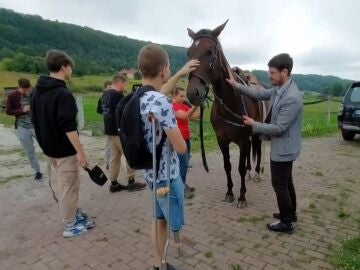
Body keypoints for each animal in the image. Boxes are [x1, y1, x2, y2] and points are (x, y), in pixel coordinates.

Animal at [184, 21, 266, 207]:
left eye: (209, 52)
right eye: (189, 53)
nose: (193, 93)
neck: (231, 102)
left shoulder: (243, 140)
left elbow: (240, 168)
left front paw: (242, 197)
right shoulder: (222, 140)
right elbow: (227, 166)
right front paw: (229, 193)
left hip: (257, 133)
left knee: (257, 150)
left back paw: (257, 173)